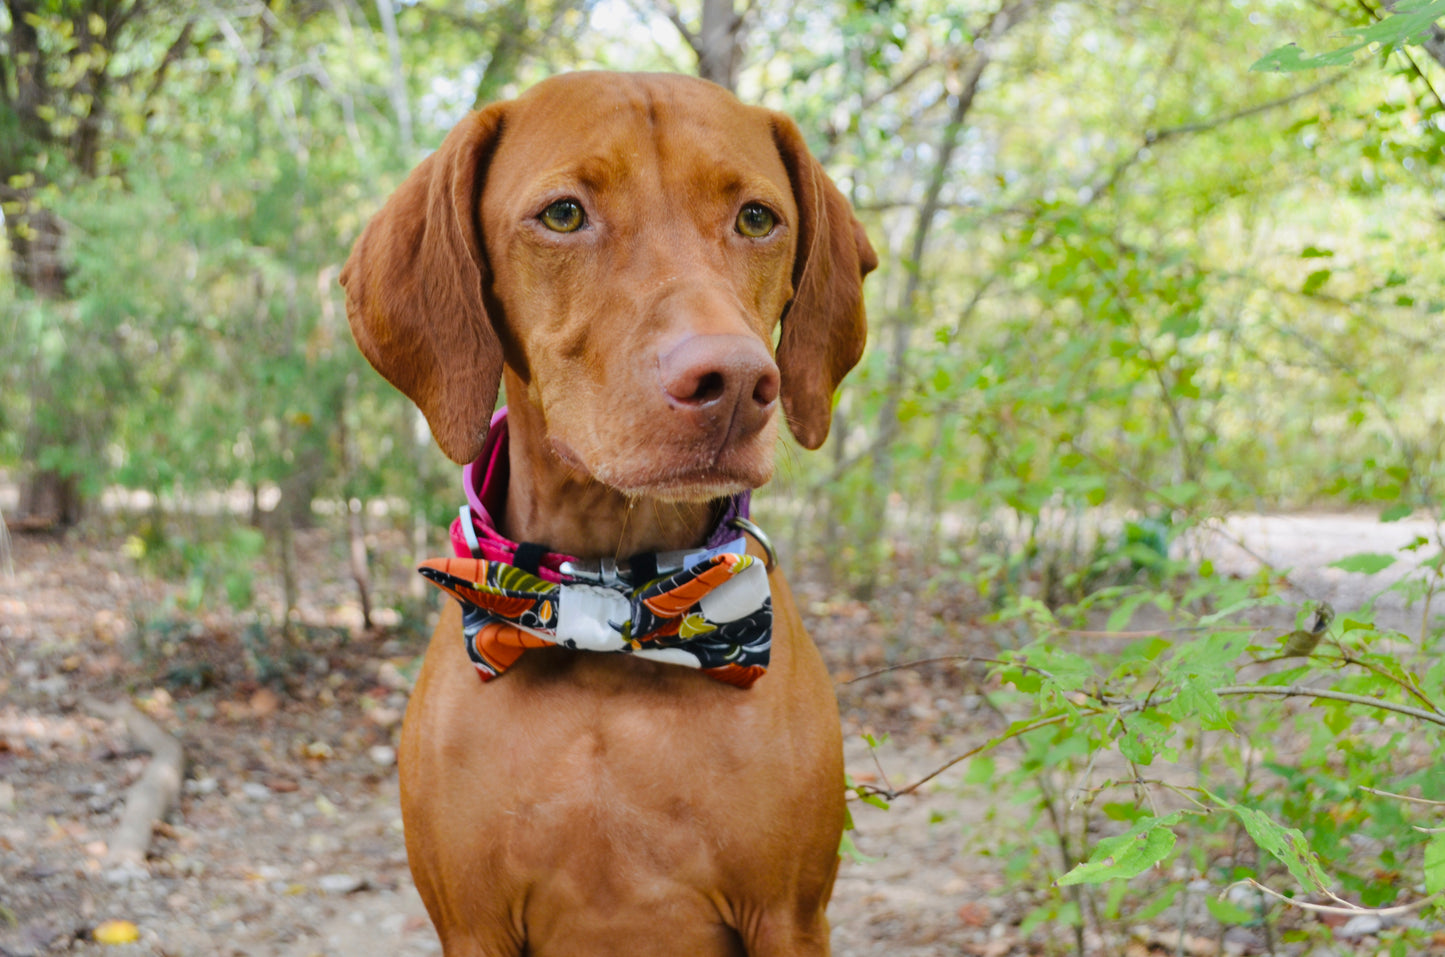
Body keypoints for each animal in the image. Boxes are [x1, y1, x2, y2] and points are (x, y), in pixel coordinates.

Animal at [343, 75, 872, 957]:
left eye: (756, 218)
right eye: (563, 214)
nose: (735, 383)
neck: (606, 601)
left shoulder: (790, 916)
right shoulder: (472, 925)